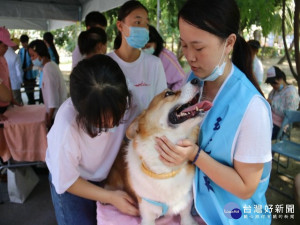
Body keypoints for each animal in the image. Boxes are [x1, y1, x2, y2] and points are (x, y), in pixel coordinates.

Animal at [106, 78, 212, 225]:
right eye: (168, 93)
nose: (197, 80)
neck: (165, 171)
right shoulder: (147, 214)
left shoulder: (185, 202)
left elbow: (186, 216)